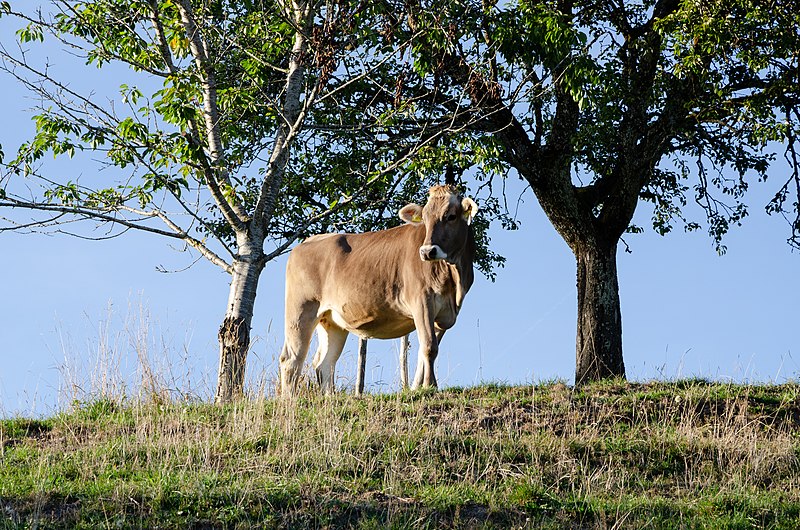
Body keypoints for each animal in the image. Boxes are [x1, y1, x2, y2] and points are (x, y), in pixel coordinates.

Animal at [280, 184, 476, 394]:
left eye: (451, 216)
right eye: (424, 218)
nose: (427, 251)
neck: (454, 280)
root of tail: (307, 241)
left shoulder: (444, 314)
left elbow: (425, 353)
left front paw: (419, 387)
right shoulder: (422, 301)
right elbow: (429, 347)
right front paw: (430, 386)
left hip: (331, 320)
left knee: (324, 363)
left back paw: (329, 398)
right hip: (301, 310)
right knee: (291, 360)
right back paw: (289, 400)